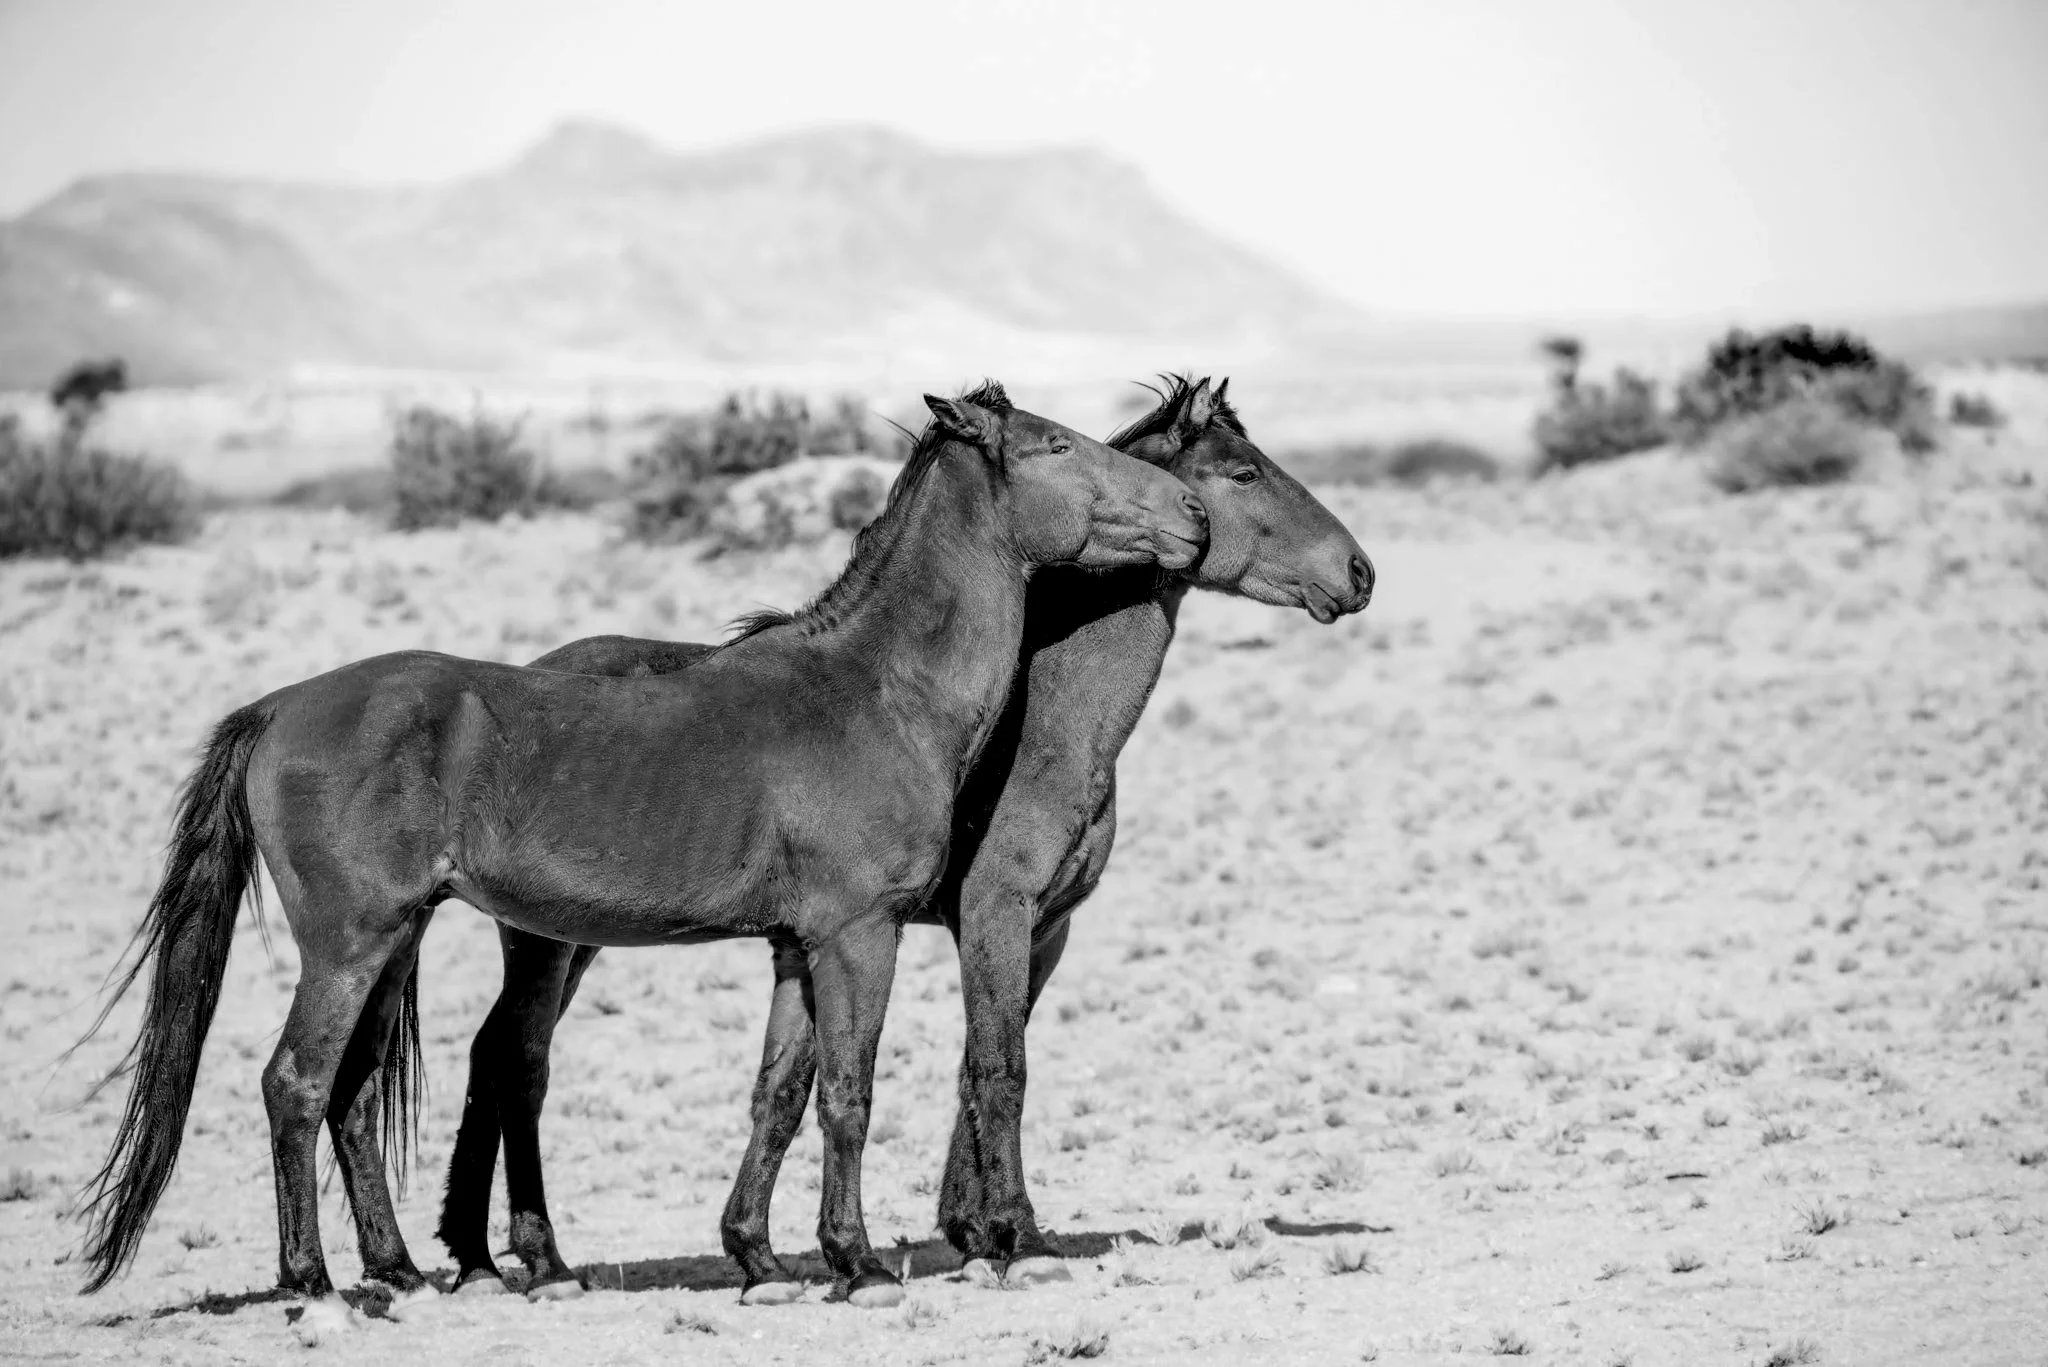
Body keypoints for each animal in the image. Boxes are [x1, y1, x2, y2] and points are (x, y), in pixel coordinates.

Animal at [74, 382, 1211, 1329]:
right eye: (1056, 444)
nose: (1191, 517)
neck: (878, 689)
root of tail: (278, 707)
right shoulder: (859, 934)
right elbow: (849, 1095)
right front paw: (854, 1262)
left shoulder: (797, 946)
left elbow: (780, 1094)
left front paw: (770, 1260)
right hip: (351, 944)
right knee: (298, 1084)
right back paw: (315, 1286)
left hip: (397, 938)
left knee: (355, 1092)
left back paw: (405, 1270)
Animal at [429, 375, 1375, 1301]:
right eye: (1244, 471)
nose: (1359, 571)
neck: (1042, 718)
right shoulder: (989, 912)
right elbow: (998, 1067)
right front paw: (1015, 1237)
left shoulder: (1043, 927)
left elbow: (950, 1066)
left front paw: (966, 1230)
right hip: (552, 941)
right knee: (516, 1062)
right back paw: (525, 1260)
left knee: (490, 1055)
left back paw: (479, 1256)